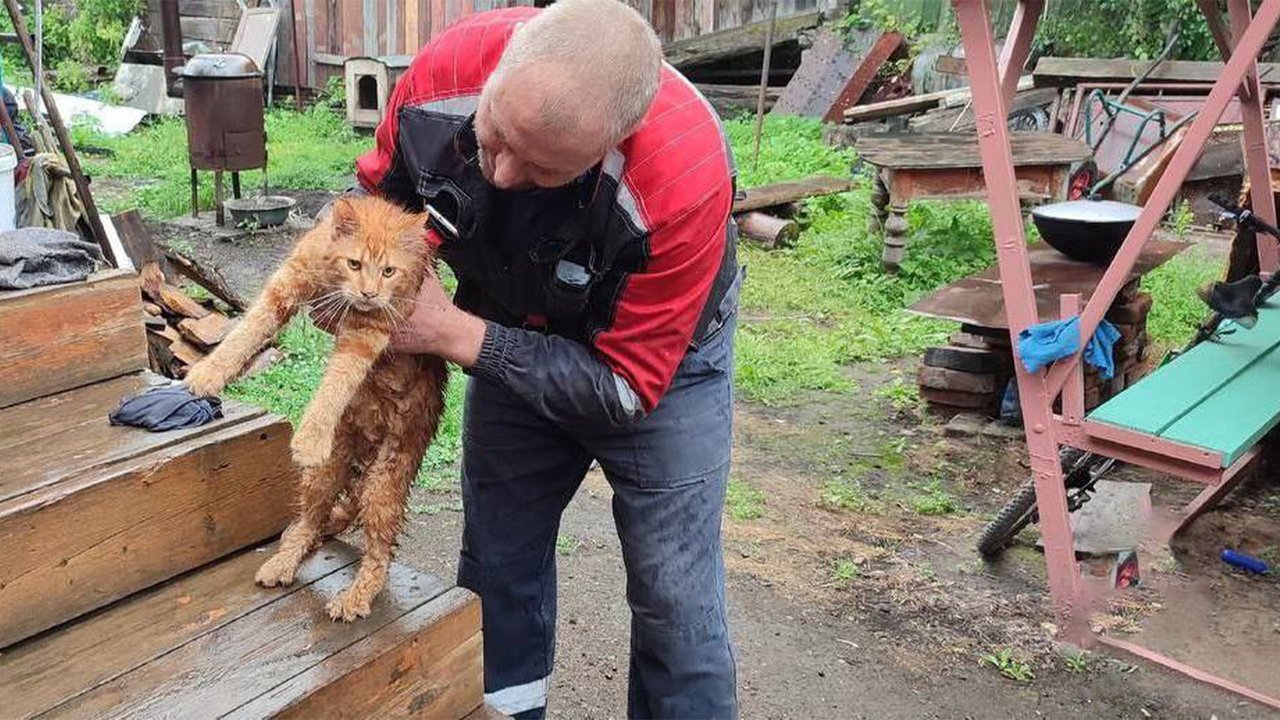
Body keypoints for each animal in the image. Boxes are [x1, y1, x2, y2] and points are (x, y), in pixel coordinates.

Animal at [183, 193, 448, 620]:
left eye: (389, 271)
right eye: (354, 263)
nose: (369, 293)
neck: (336, 281)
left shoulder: (369, 331)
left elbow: (336, 384)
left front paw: (309, 437)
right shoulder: (286, 284)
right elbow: (246, 330)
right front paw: (208, 373)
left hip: (384, 484)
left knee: (379, 555)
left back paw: (355, 597)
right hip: (326, 472)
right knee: (308, 522)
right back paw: (281, 562)